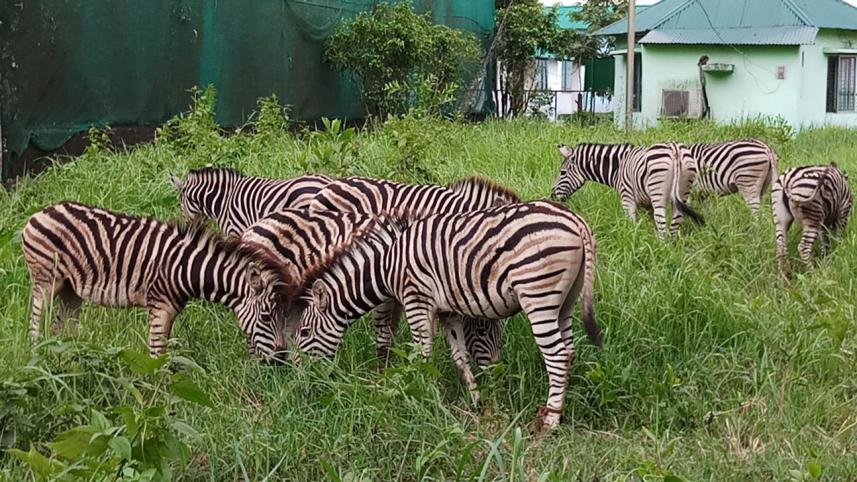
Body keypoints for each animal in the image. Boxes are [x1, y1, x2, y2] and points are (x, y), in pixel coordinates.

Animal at [22, 201, 293, 361]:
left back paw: (68, 359)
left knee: (61, 329)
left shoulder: (171, 309)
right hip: (46, 280)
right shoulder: (160, 306)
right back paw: (37, 357)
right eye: (266, 317)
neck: (186, 268)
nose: (281, 359)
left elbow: (162, 349)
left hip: (70, 289)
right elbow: (156, 352)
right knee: (35, 322)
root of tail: (40, 212)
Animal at [289, 200, 602, 432]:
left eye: (303, 333)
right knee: (569, 351)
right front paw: (476, 400)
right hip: (565, 302)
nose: (297, 377)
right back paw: (561, 407)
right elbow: (460, 358)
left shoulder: (416, 299)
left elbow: (422, 355)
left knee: (557, 356)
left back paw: (551, 420)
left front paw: (420, 398)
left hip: (538, 294)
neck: (387, 265)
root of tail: (575, 220)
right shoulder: (448, 312)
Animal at [553, 142, 704, 238]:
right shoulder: (647, 205)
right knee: (674, 223)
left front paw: (632, 243)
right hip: (683, 192)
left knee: (662, 224)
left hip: (658, 195)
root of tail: (675, 149)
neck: (617, 169)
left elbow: (631, 226)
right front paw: (650, 245)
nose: (552, 196)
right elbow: (651, 226)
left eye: (562, 173)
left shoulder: (627, 199)